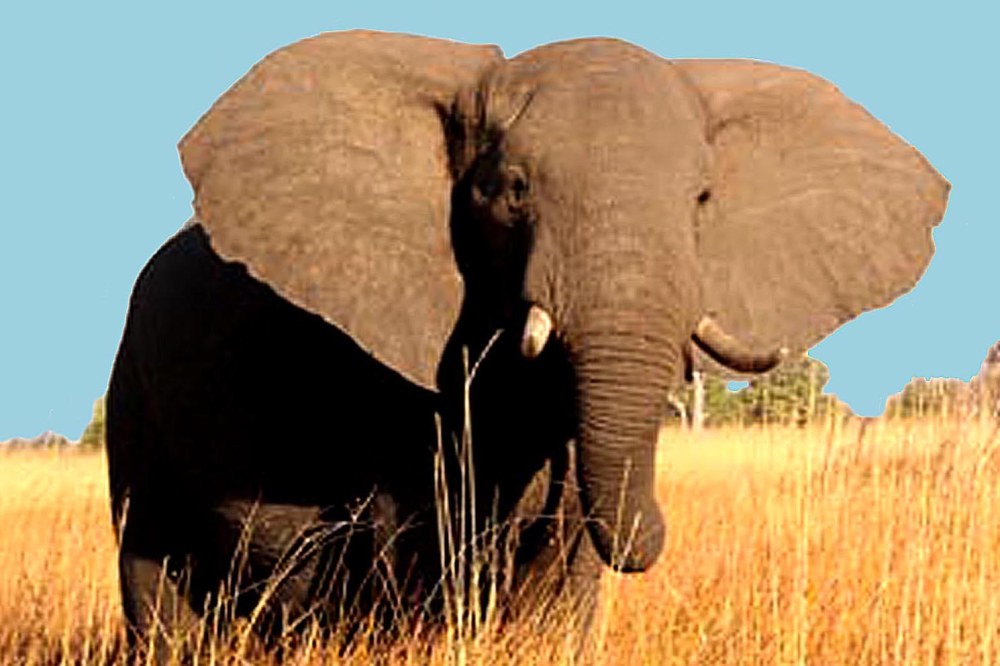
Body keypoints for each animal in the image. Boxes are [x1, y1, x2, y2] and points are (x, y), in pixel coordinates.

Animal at [106, 30, 949, 656]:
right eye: (511, 192)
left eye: (703, 199)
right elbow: (404, 549)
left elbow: (567, 565)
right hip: (134, 397)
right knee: (156, 580)